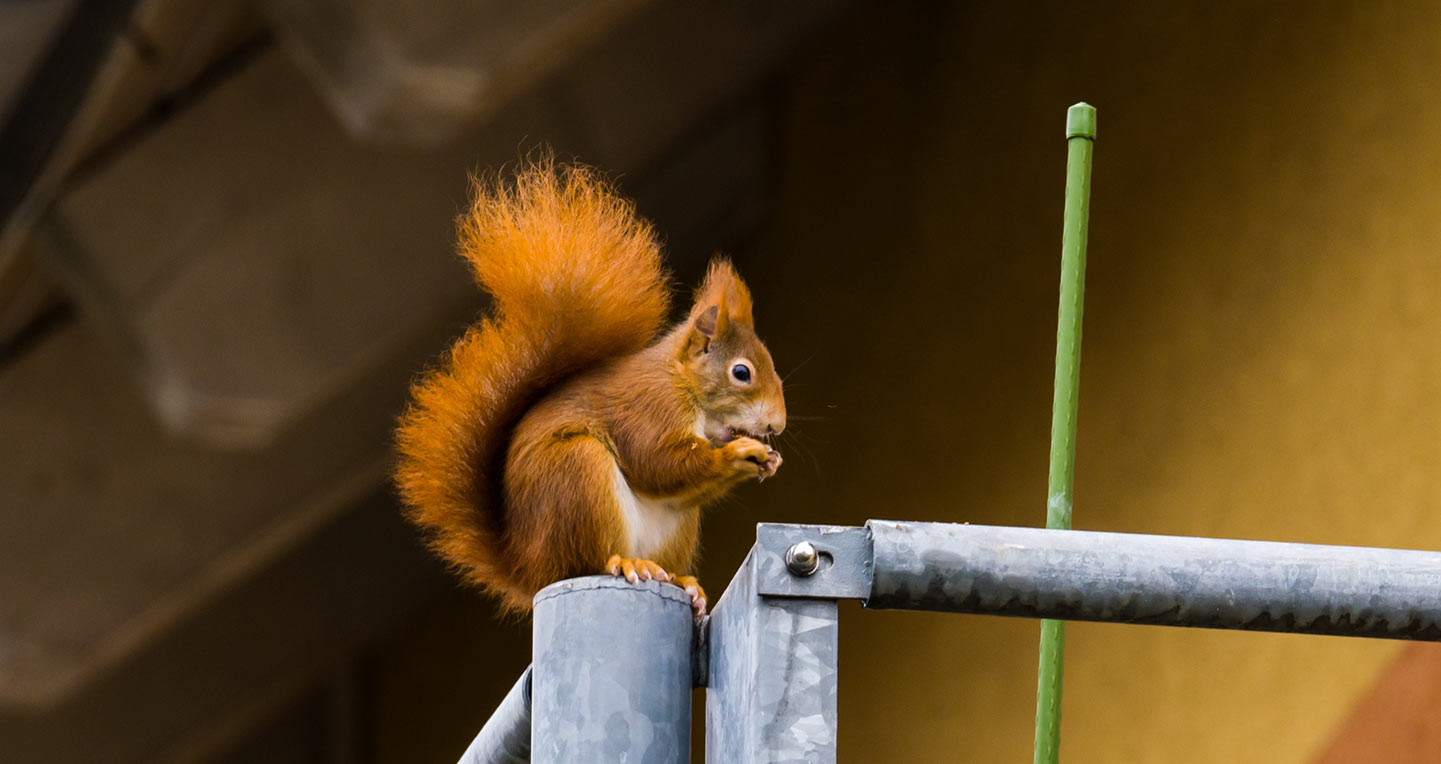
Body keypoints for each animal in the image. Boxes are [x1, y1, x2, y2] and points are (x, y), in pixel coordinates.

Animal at [391, 159, 789, 616]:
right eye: (741, 373)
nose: (777, 424)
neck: (684, 384)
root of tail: (529, 569)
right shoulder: (651, 407)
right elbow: (658, 462)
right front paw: (741, 453)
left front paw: (769, 459)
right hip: (576, 476)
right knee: (591, 558)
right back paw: (626, 562)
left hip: (673, 525)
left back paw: (683, 582)